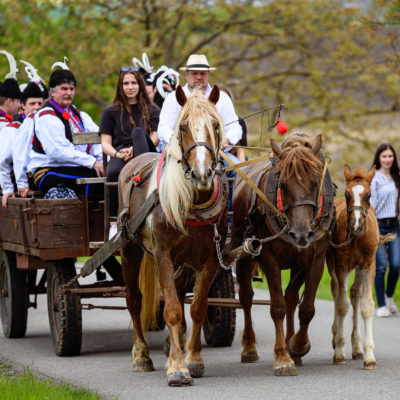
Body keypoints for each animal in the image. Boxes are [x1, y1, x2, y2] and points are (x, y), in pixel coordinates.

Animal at [117, 86, 228, 386]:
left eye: (215, 125)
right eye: (183, 126)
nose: (202, 173)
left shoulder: (209, 259)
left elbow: (197, 307)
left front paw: (193, 359)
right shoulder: (162, 255)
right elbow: (173, 310)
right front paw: (177, 368)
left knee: (176, 290)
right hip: (130, 250)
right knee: (134, 299)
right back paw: (141, 356)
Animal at [227, 134, 336, 376]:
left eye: (315, 182)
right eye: (283, 185)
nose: (301, 234)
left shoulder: (315, 259)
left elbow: (306, 308)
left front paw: (297, 346)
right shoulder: (270, 259)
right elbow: (277, 308)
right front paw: (283, 357)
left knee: (291, 298)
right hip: (244, 252)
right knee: (246, 298)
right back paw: (249, 348)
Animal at [324, 163, 378, 368]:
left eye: (369, 194)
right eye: (347, 194)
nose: (355, 224)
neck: (356, 238)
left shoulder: (368, 265)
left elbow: (366, 306)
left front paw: (369, 356)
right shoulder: (341, 266)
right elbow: (341, 305)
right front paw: (339, 351)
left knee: (355, 294)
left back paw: (356, 348)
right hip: (332, 264)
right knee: (336, 291)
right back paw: (336, 337)